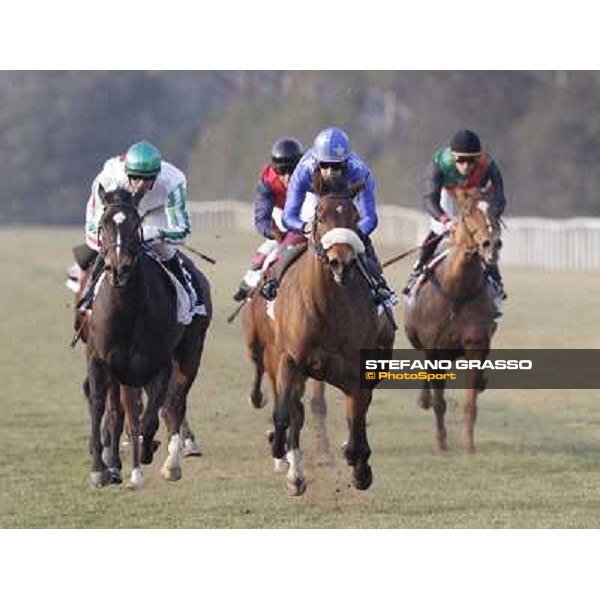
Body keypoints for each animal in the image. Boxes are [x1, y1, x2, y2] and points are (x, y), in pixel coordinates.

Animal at [85, 186, 212, 488]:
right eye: (103, 222)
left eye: (136, 223)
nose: (119, 268)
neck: (127, 312)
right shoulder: (101, 360)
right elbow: (102, 406)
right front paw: (100, 468)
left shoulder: (158, 364)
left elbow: (150, 417)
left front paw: (146, 451)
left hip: (191, 352)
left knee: (174, 402)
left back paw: (171, 463)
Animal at [264, 176, 396, 494]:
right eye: (320, 216)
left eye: (355, 217)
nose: (341, 262)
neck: (326, 307)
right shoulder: (290, 360)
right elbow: (285, 414)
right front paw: (279, 448)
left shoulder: (358, 370)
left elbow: (357, 420)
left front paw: (359, 467)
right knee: (296, 411)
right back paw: (295, 473)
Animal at [404, 190, 502, 452]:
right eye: (467, 212)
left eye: (495, 210)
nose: (491, 244)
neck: (457, 291)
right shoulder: (435, 349)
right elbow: (439, 402)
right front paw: (441, 442)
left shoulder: (476, 345)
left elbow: (470, 402)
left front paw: (469, 445)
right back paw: (424, 399)